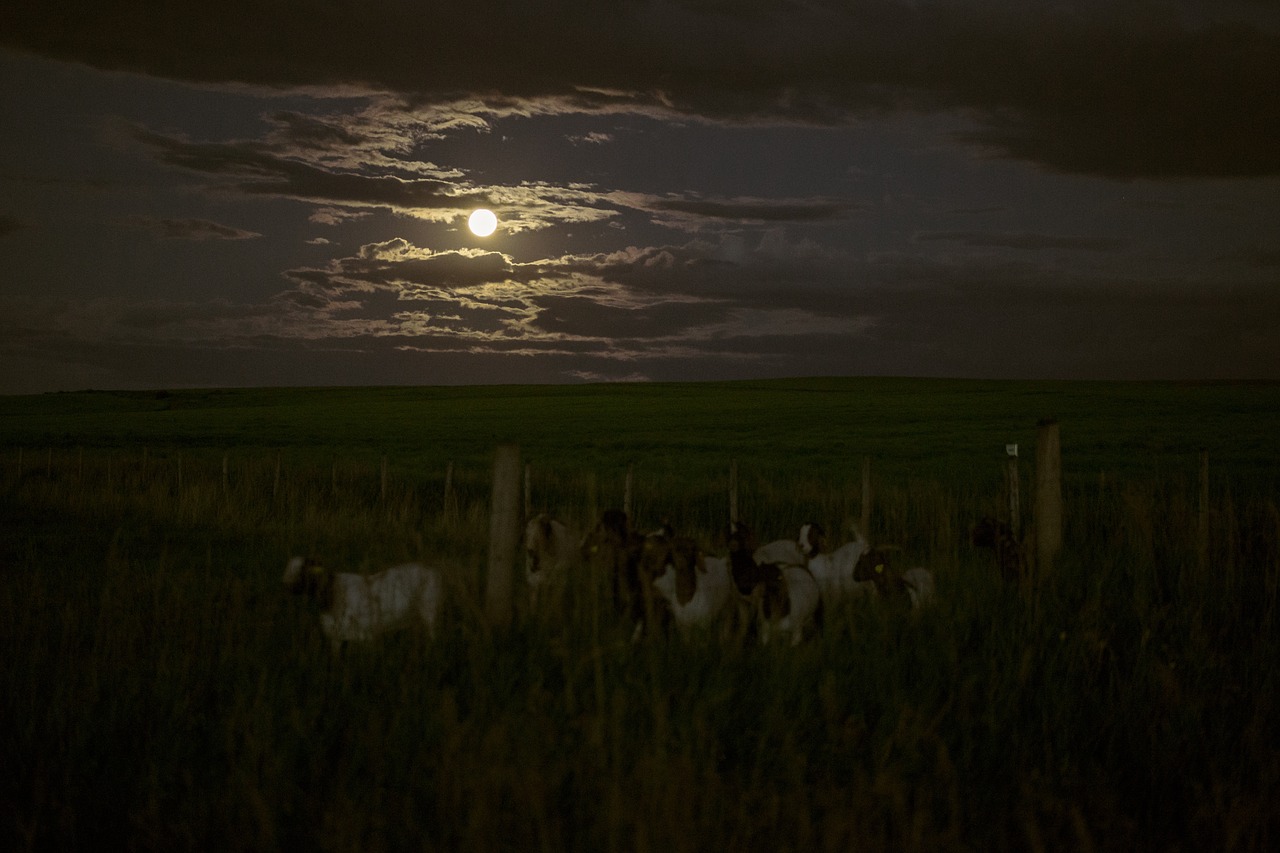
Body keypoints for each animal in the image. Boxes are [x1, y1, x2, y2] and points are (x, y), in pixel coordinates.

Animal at [282, 550, 442, 645]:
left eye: (304, 570)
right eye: (288, 568)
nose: (286, 585)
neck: (333, 591)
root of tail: (432, 568)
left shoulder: (365, 636)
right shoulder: (337, 638)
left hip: (430, 611)